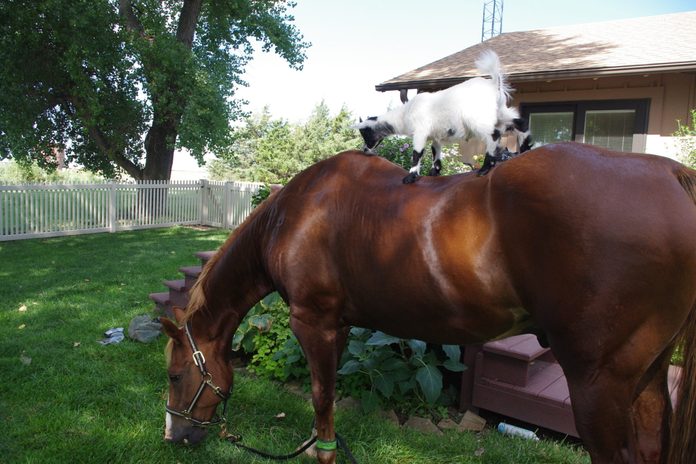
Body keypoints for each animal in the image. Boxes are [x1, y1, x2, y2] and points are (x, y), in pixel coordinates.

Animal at [161, 142, 696, 464]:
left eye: (173, 375)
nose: (173, 435)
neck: (296, 214)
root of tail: (671, 173)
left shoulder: (314, 322)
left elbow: (321, 399)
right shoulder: (340, 327)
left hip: (596, 385)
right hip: (645, 378)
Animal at [356, 50, 533, 183]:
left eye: (366, 133)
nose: (364, 149)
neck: (405, 113)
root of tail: (494, 84)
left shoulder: (420, 132)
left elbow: (417, 153)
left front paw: (411, 176)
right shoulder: (436, 136)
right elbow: (436, 154)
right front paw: (434, 173)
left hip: (477, 118)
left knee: (494, 135)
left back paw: (485, 168)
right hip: (500, 112)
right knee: (520, 122)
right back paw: (525, 149)